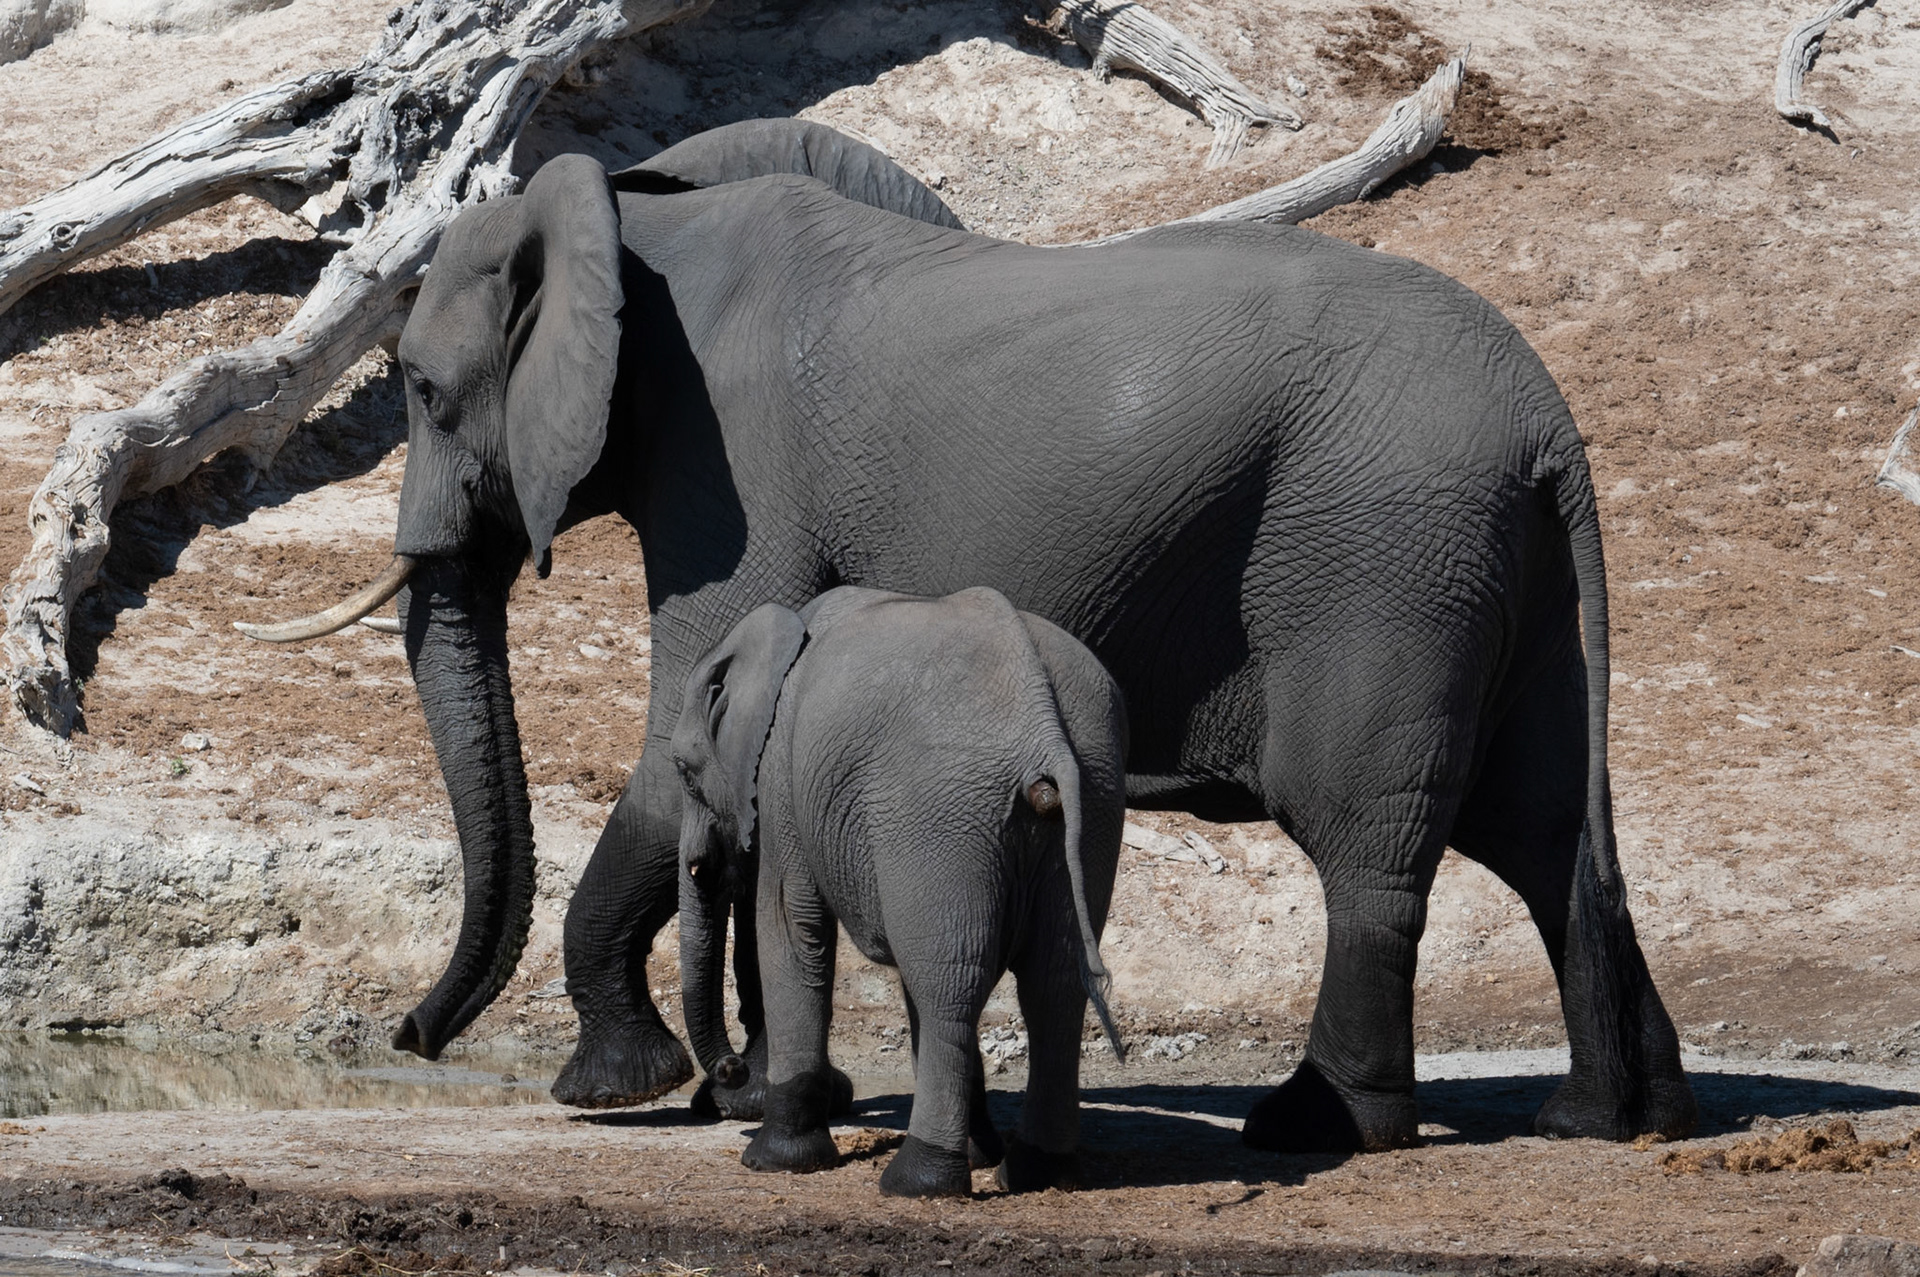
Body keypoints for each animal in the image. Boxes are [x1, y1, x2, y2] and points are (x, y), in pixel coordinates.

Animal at [670, 586, 1128, 1197]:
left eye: (684, 770)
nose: (730, 1071)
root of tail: (1042, 725)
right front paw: (979, 1151)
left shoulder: (781, 779)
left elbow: (793, 927)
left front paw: (775, 1161)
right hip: (1094, 790)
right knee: (1050, 985)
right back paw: (1038, 1172)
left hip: (940, 808)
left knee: (949, 986)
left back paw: (918, 1182)